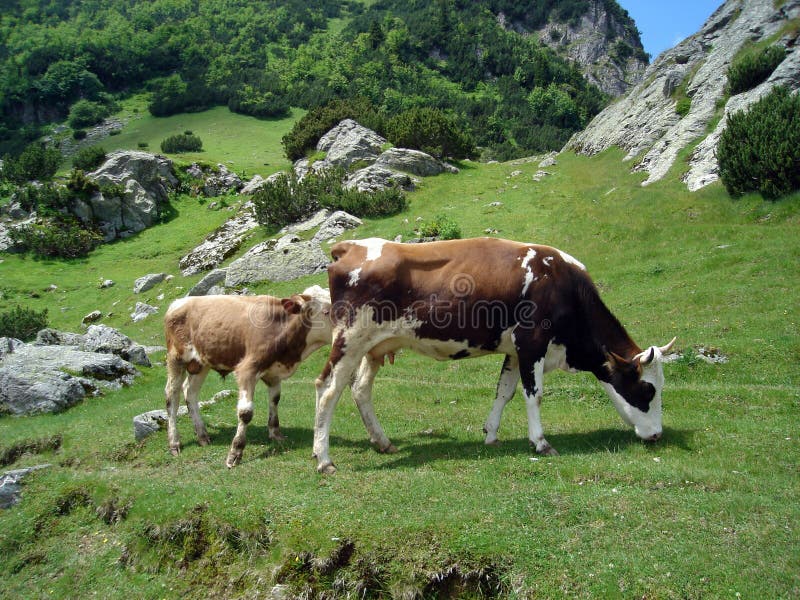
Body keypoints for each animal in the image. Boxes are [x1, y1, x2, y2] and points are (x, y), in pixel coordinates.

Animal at [164, 286, 330, 468]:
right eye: (327, 311)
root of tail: (179, 302)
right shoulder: (247, 370)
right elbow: (245, 413)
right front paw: (235, 452)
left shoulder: (273, 373)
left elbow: (275, 400)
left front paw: (275, 434)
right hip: (176, 359)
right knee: (172, 396)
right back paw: (174, 442)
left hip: (201, 363)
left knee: (190, 392)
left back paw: (202, 435)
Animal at [312, 237, 676, 472]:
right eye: (647, 390)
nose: (657, 435)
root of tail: (351, 246)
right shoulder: (532, 343)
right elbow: (534, 395)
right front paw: (541, 442)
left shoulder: (515, 350)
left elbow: (505, 391)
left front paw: (491, 434)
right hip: (350, 338)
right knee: (328, 389)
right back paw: (324, 459)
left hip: (373, 347)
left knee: (360, 389)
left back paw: (382, 442)